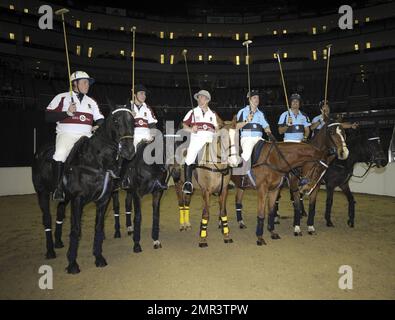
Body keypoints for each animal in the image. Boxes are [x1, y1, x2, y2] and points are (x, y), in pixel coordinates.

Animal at [31, 106, 136, 274]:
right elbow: (76, 230)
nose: (129, 150)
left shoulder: (103, 200)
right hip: (42, 193)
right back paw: (50, 251)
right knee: (47, 219)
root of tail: (40, 152)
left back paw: (58, 242)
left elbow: (98, 227)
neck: (96, 161)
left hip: (64, 198)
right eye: (115, 121)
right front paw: (72, 264)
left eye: (133, 121)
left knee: (59, 212)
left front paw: (99, 258)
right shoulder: (77, 200)